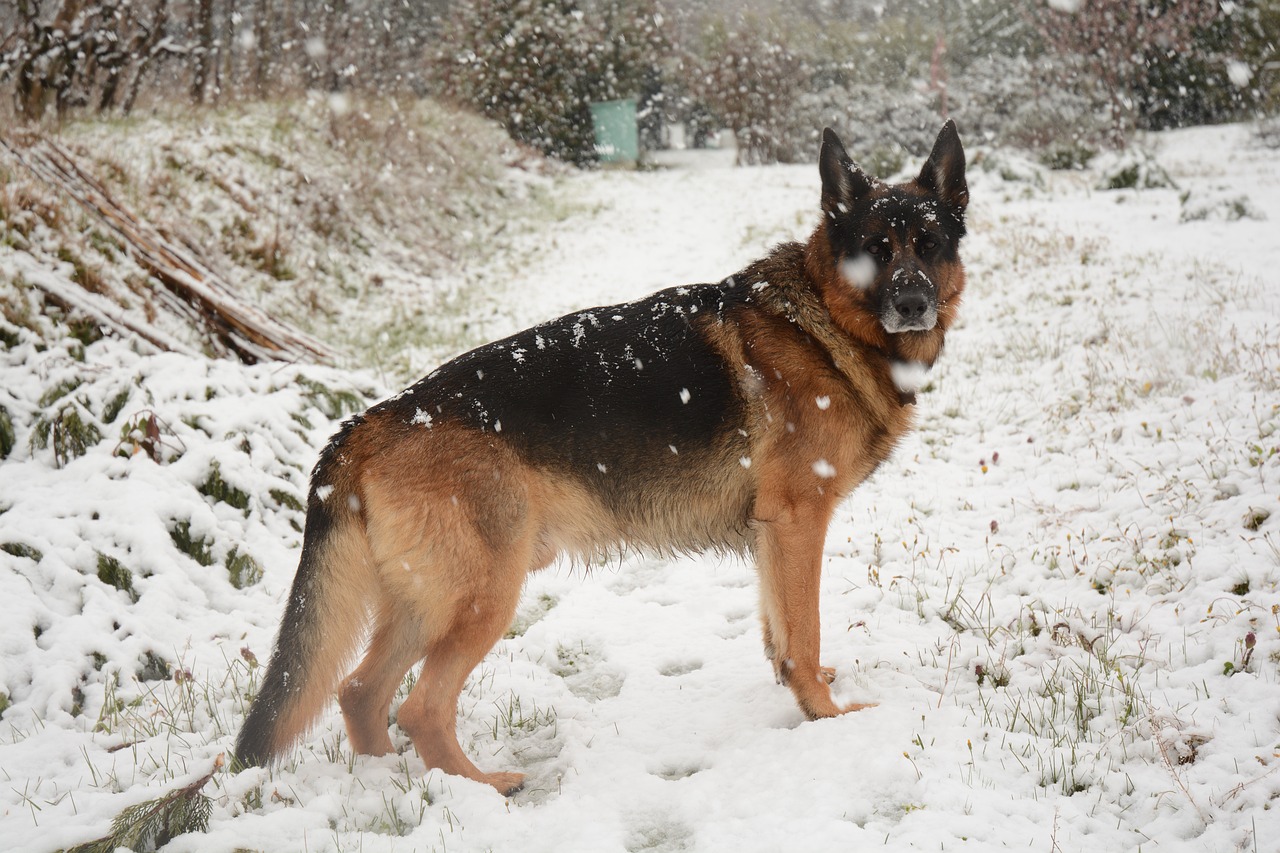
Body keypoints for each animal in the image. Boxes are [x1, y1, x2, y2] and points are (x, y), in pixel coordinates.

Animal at [235, 119, 962, 788]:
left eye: (928, 246)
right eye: (875, 249)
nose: (912, 303)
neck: (825, 320)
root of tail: (371, 420)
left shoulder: (772, 534)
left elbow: (779, 629)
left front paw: (799, 691)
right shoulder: (799, 521)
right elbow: (802, 632)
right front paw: (826, 715)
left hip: (426, 602)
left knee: (359, 692)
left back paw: (390, 782)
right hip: (483, 597)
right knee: (417, 707)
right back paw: (482, 786)